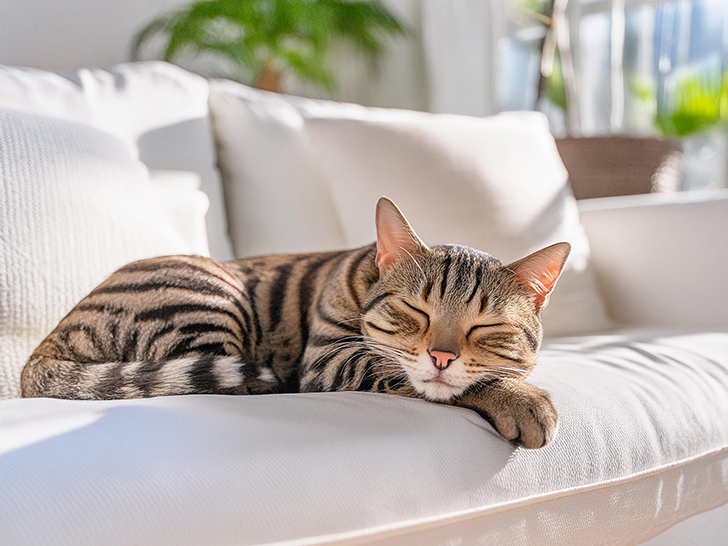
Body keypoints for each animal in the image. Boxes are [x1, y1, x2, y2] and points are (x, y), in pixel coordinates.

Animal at [19, 196, 568, 446]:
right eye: (416, 311)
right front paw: (520, 398)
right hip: (209, 293)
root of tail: (41, 350)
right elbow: (423, 377)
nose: (443, 354)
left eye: (485, 329)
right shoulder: (329, 360)